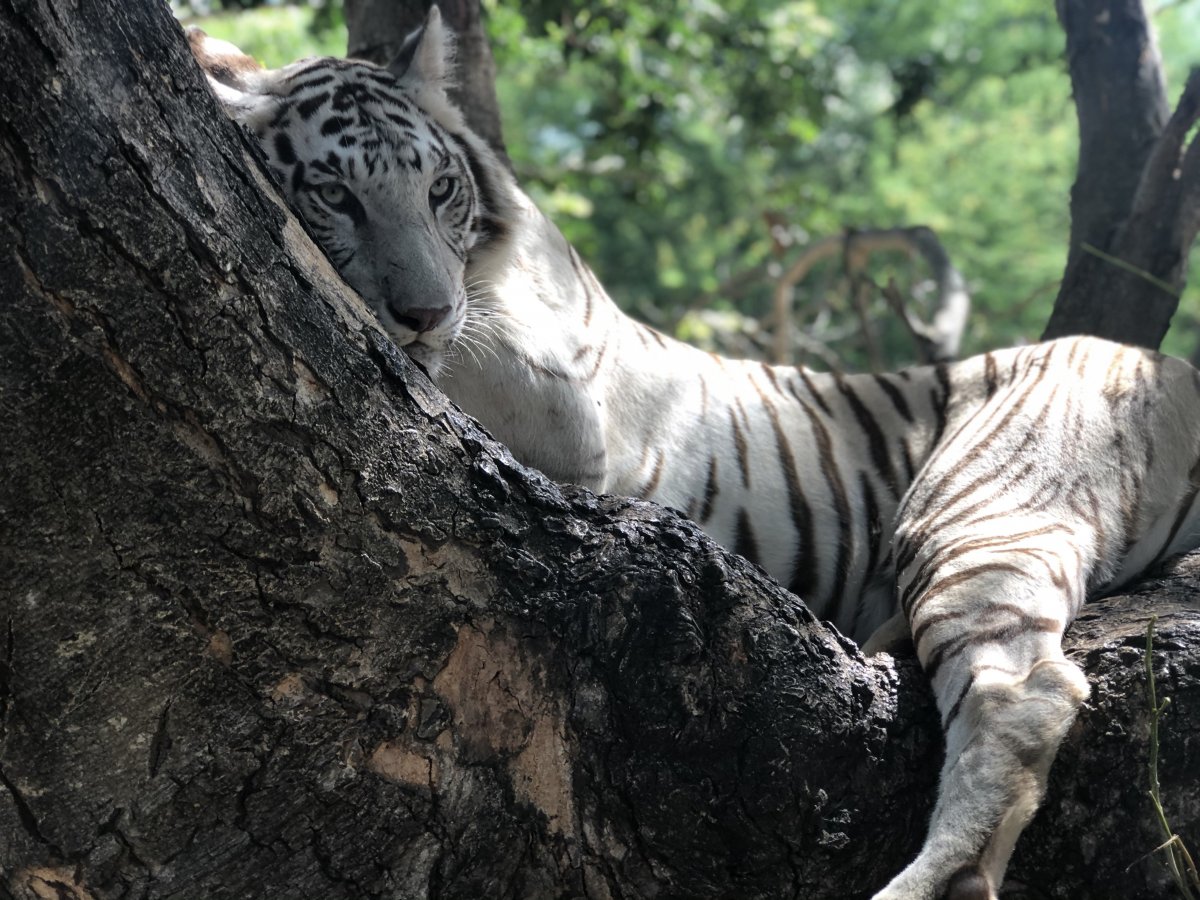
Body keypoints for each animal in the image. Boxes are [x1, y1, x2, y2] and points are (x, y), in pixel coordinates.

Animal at [187, 14, 1200, 900]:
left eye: (439, 190)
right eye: (336, 195)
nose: (425, 313)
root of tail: (1172, 363)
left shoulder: (556, 396)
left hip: (978, 506)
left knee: (1027, 693)